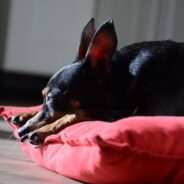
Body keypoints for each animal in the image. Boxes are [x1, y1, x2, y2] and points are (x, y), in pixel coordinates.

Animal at [9, 18, 184, 145]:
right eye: (43, 96)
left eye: (52, 98)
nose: (21, 131)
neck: (122, 78)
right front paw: (25, 114)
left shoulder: (134, 113)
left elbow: (76, 112)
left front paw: (43, 130)